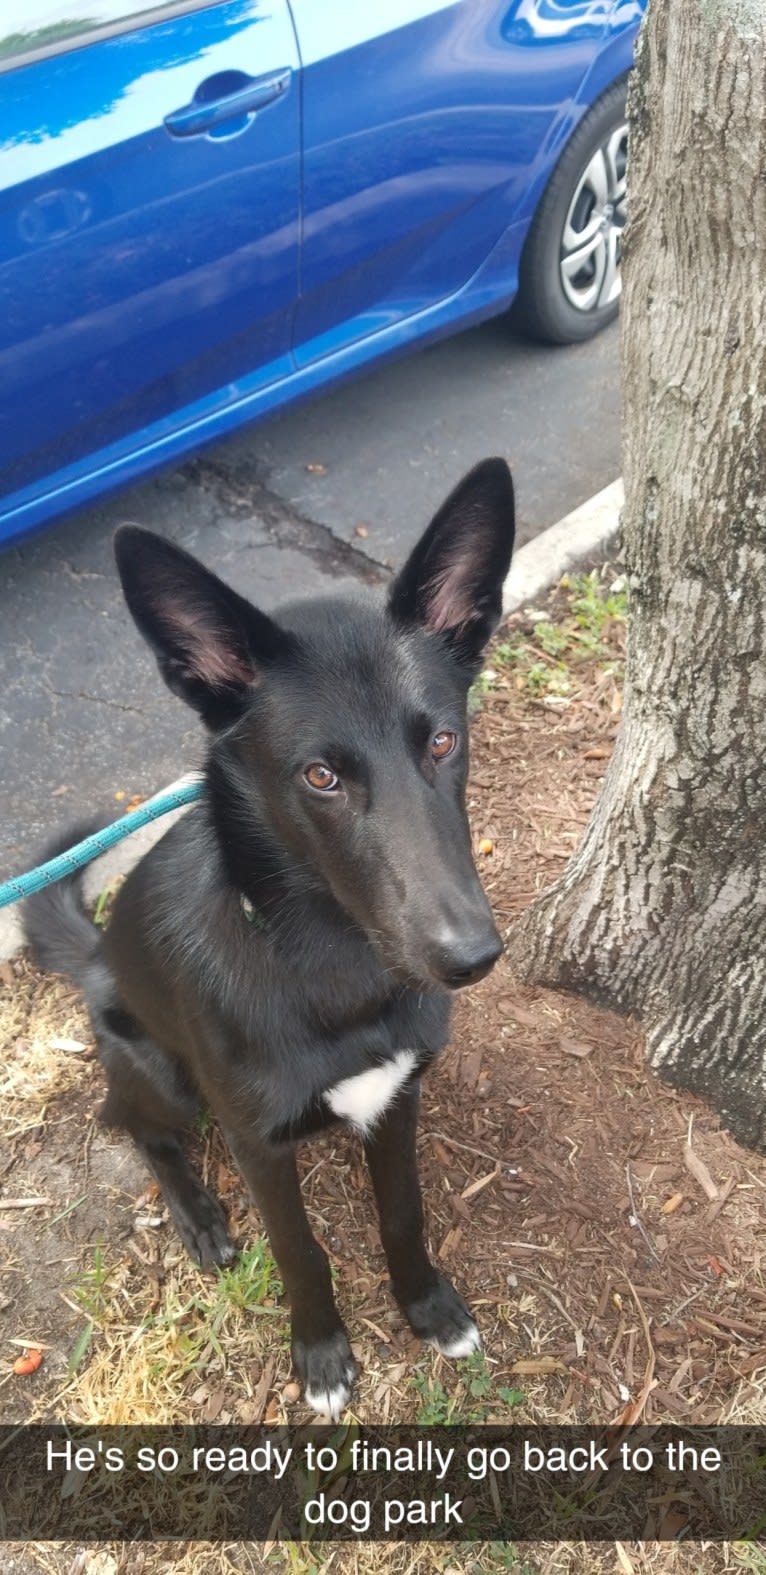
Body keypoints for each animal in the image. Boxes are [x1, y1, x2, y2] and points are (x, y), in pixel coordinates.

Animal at [25, 456, 513, 1417]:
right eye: (321, 776)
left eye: (443, 742)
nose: (471, 958)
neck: (335, 964)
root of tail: (94, 959)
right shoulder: (257, 1144)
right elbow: (300, 1251)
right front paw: (321, 1353)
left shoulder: (398, 1099)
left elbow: (403, 1213)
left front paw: (427, 1307)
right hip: (166, 1077)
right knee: (130, 1123)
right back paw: (198, 1215)